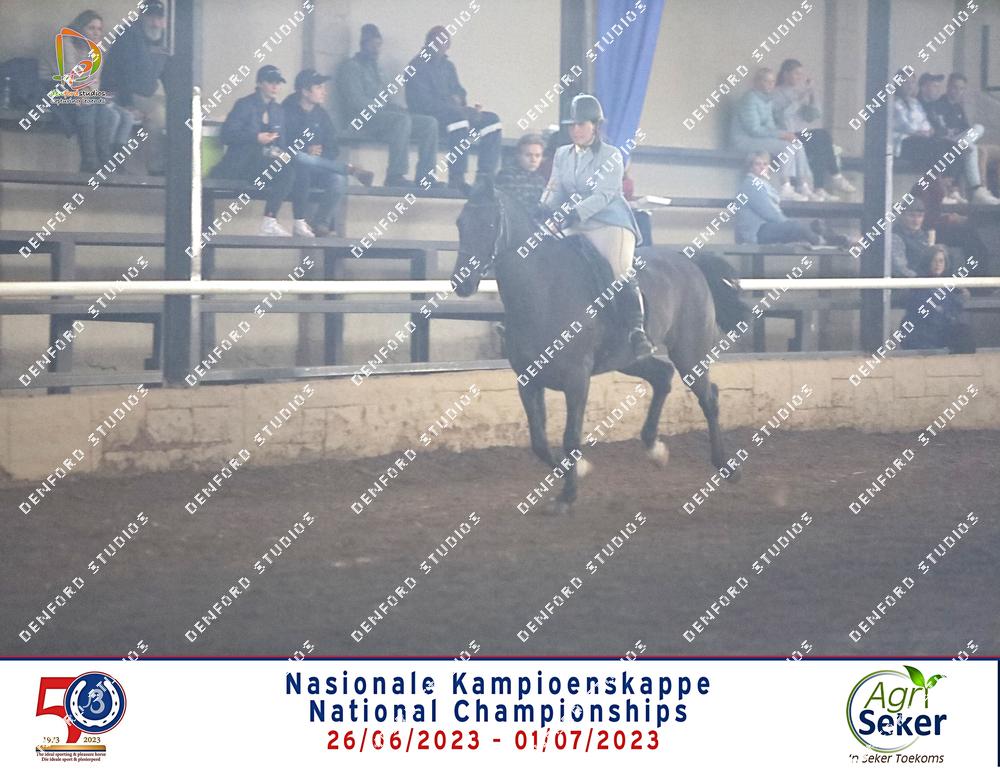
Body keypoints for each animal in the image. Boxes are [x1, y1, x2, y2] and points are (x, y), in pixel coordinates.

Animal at [452, 180, 750, 513]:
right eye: (460, 224)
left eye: (490, 224)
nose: (461, 284)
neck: (543, 290)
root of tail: (690, 263)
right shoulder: (527, 381)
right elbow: (539, 442)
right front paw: (577, 472)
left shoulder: (577, 379)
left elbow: (570, 437)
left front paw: (567, 496)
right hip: (630, 359)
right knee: (663, 376)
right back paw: (655, 449)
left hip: (689, 354)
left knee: (708, 397)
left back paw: (727, 468)